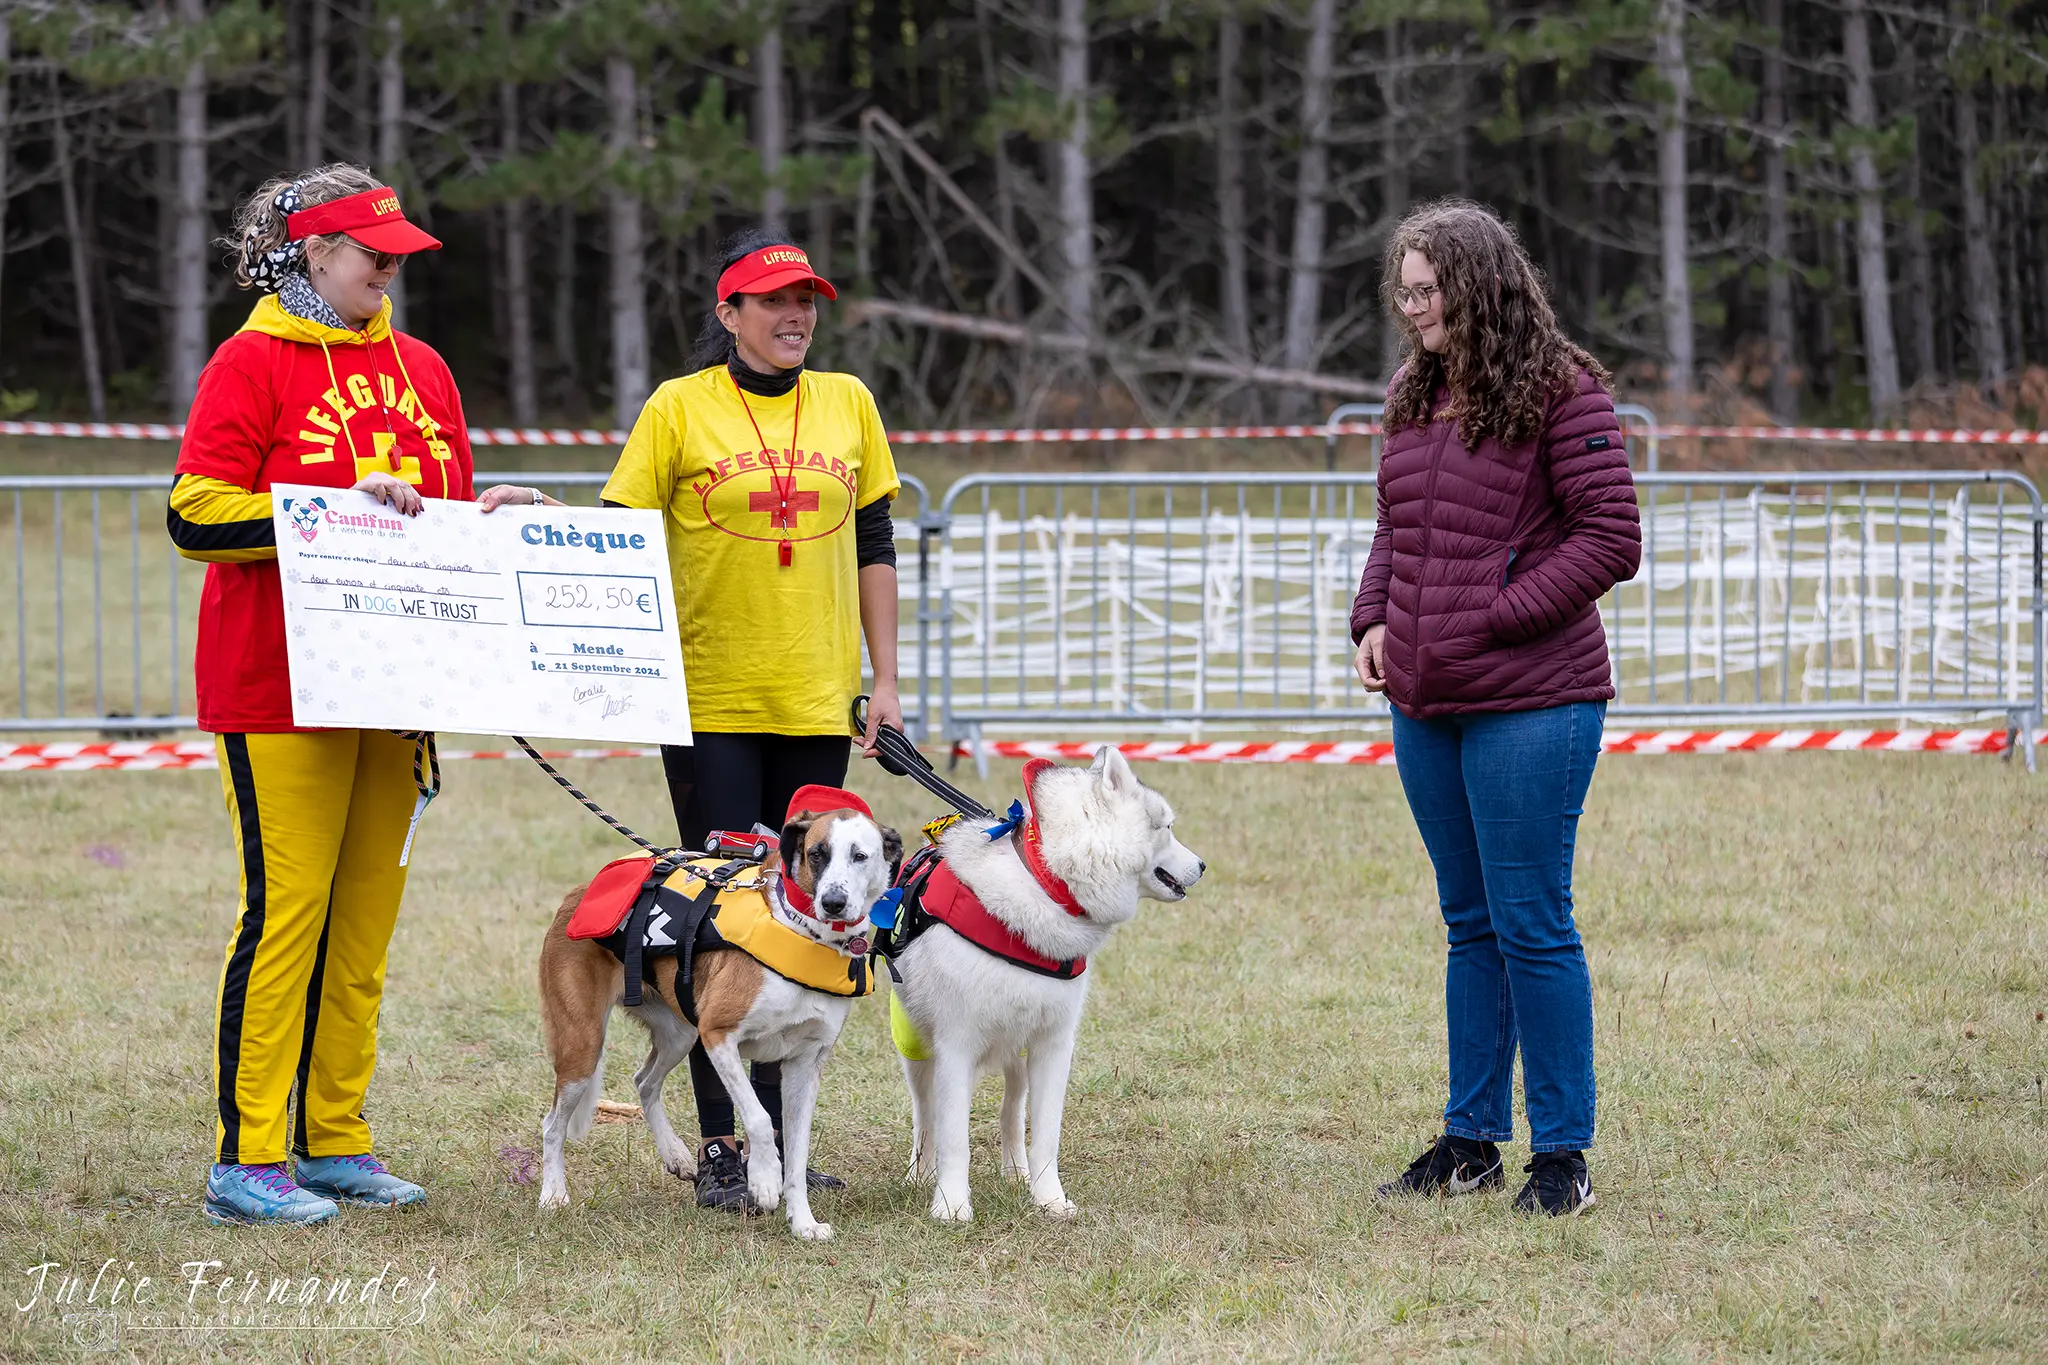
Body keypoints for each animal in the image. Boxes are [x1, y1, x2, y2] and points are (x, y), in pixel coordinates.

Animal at [540, 785, 901, 1244]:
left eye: (860, 855)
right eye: (817, 853)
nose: (833, 902)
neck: (803, 932)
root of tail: (576, 895)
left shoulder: (804, 1065)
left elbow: (797, 1153)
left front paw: (802, 1221)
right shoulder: (718, 1035)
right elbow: (760, 1118)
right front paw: (764, 1182)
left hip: (679, 1034)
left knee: (644, 1081)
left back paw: (675, 1154)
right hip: (584, 1046)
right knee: (552, 1124)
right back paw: (553, 1194)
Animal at [892, 753, 1204, 1219]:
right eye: (1165, 826)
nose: (1203, 865)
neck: (1044, 882)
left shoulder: (1053, 1046)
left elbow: (1045, 1136)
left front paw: (1049, 1200)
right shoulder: (955, 1048)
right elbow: (954, 1139)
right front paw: (951, 1206)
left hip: (1017, 1056)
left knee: (1010, 1110)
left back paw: (1015, 1172)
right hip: (917, 1051)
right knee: (925, 1115)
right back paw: (920, 1174)